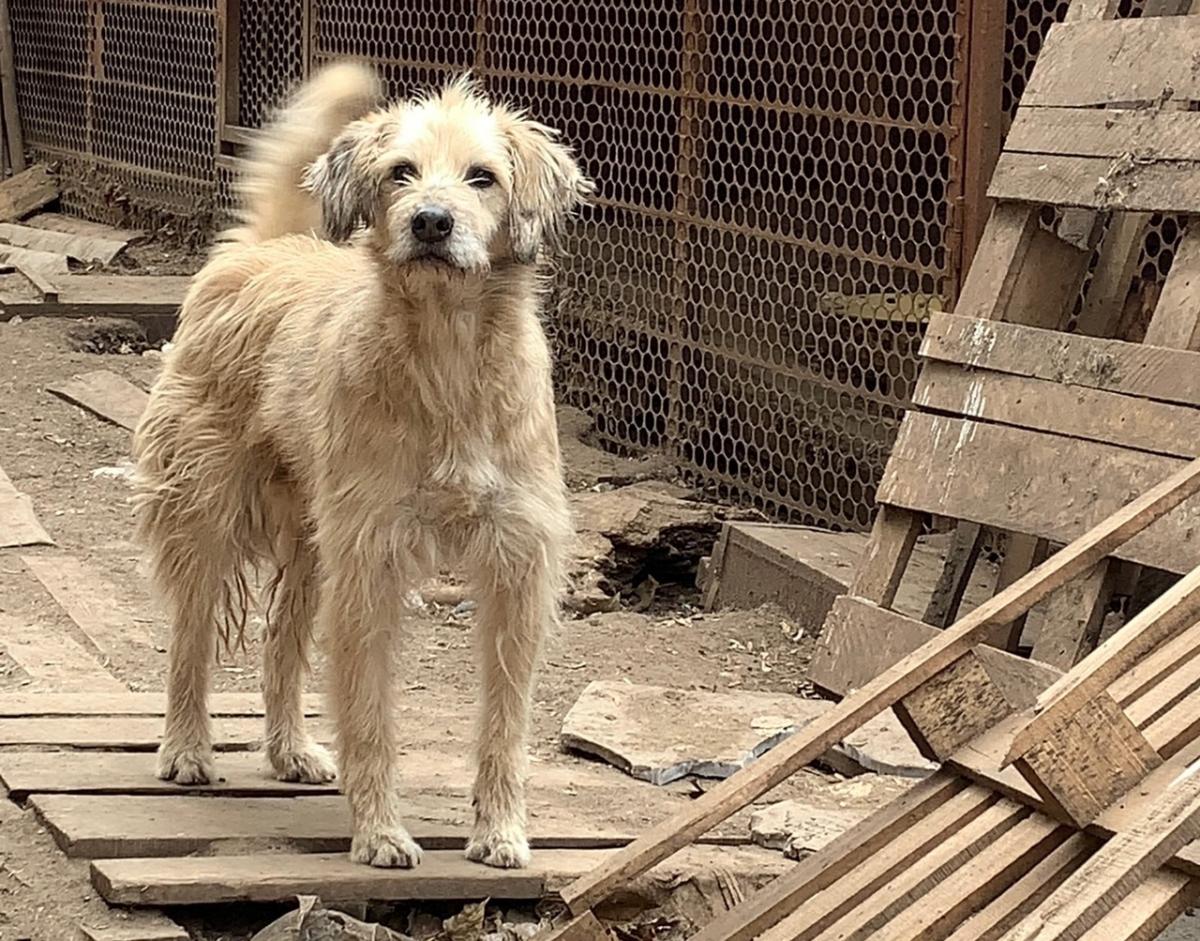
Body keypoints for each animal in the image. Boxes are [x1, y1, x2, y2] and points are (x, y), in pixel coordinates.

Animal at [133, 66, 592, 868]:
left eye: (483, 177)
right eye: (400, 173)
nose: (432, 222)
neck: (445, 358)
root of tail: (269, 249)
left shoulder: (516, 568)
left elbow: (505, 720)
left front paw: (499, 830)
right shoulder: (371, 565)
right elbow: (370, 717)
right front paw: (380, 832)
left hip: (315, 540)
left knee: (281, 637)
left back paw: (288, 748)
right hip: (207, 513)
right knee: (190, 636)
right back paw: (187, 748)